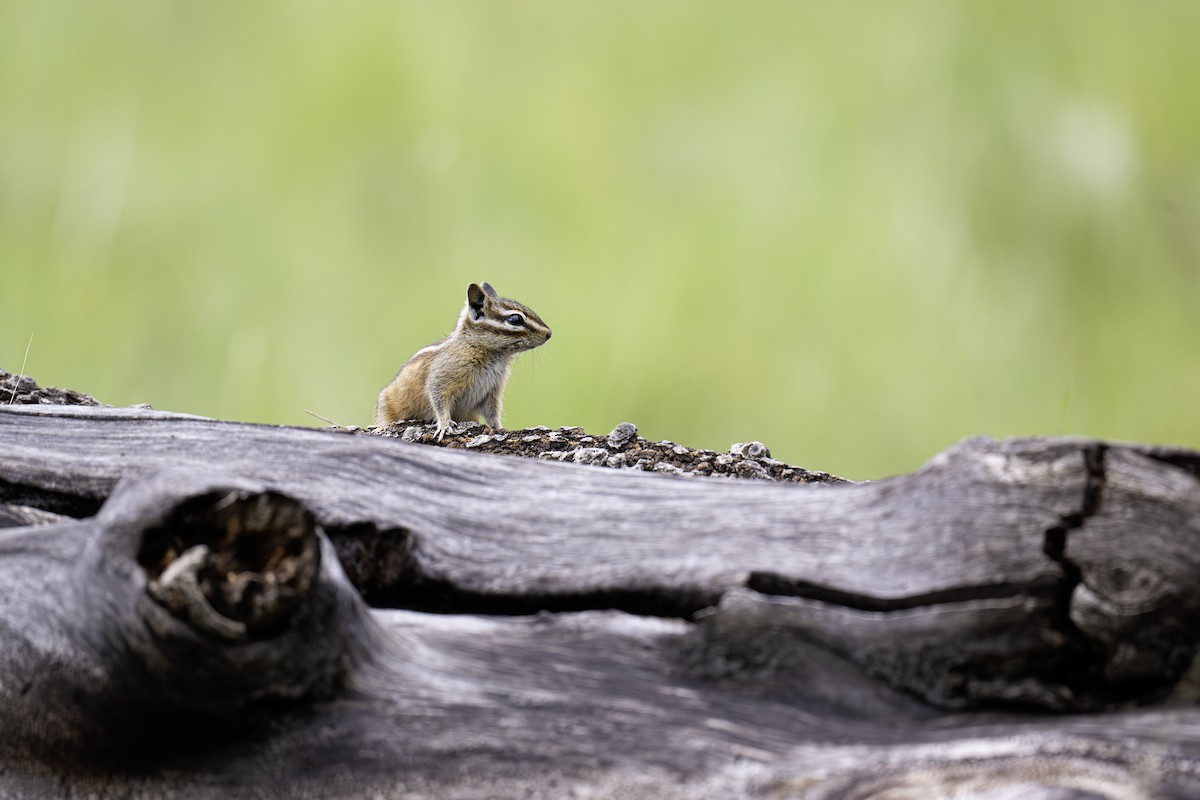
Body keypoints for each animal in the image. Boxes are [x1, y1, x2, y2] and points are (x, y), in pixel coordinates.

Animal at [375, 282, 552, 439]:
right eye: (515, 319)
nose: (549, 333)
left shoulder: (491, 391)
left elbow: (492, 413)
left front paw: (499, 428)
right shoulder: (443, 376)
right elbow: (438, 397)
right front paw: (444, 425)